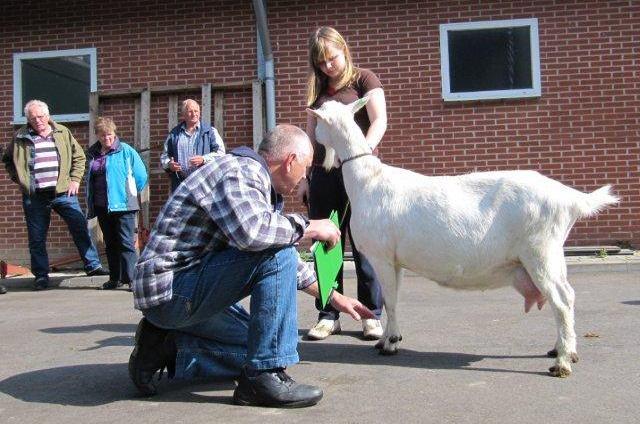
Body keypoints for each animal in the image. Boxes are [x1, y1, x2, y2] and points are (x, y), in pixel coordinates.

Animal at [308, 97, 616, 376]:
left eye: (317, 119)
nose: (312, 137)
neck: (368, 180)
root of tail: (570, 199)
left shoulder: (381, 255)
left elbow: (390, 301)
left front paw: (390, 344)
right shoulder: (396, 260)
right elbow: (393, 299)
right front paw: (387, 339)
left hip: (540, 252)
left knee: (561, 301)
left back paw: (562, 363)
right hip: (553, 253)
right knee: (567, 296)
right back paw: (563, 350)